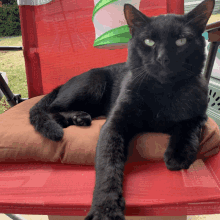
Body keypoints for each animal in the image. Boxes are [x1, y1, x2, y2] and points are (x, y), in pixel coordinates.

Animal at [28, 0, 215, 219]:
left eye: (181, 41)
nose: (163, 58)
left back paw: (78, 117)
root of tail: (66, 82)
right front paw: (105, 208)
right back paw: (75, 117)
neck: (162, 91)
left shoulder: (199, 112)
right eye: (149, 41)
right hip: (93, 83)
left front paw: (178, 155)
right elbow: (109, 162)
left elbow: (190, 126)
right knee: (51, 109)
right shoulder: (114, 125)